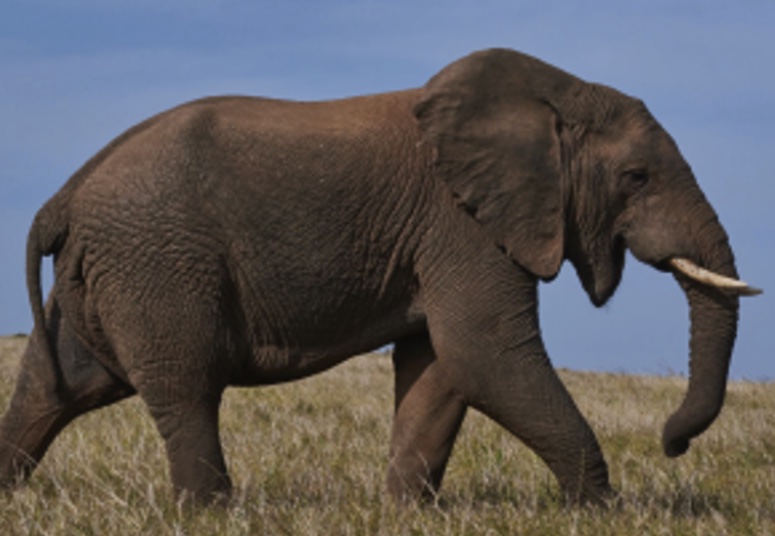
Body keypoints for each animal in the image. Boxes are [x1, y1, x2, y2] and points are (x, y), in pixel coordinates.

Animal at [0, 48, 760, 506]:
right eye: (636, 178)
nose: (671, 443)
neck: (552, 94)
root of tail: (63, 197)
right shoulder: (461, 225)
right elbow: (485, 356)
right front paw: (601, 510)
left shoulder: (444, 237)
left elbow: (439, 368)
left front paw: (405, 510)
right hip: (156, 263)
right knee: (184, 387)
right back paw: (210, 512)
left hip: (107, 275)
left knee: (55, 385)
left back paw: (10, 493)